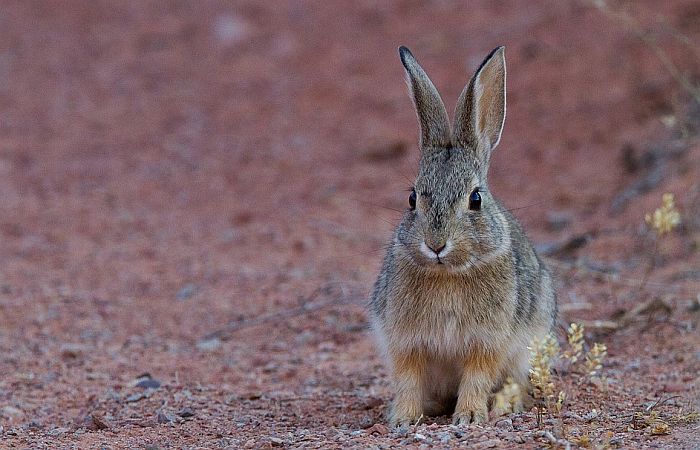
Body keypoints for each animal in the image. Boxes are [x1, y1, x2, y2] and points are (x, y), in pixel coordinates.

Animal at [370, 46, 556, 428]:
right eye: (412, 199)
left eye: (476, 199)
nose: (436, 244)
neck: (448, 274)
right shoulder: (405, 342)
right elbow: (408, 379)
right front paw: (403, 419)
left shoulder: (487, 342)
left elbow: (477, 376)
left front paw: (469, 416)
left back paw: (504, 405)